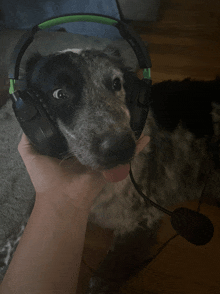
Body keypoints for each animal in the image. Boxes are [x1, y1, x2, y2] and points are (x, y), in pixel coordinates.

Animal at [0, 47, 220, 292]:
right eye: (59, 94)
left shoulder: (142, 221)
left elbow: (100, 280)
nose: (120, 148)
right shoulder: (43, 206)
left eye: (116, 84)